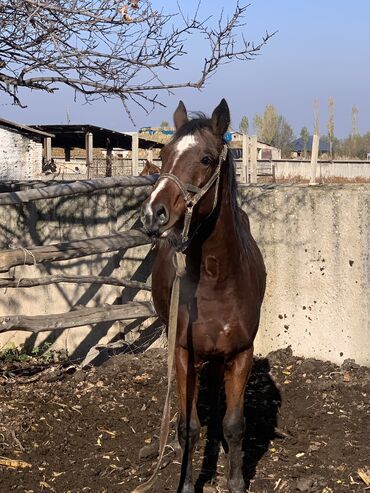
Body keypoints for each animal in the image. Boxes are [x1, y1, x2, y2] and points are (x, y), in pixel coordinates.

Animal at [139, 100, 266, 492]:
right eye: (163, 154)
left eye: (207, 159)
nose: (153, 214)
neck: (216, 279)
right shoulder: (183, 354)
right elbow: (188, 428)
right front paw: (184, 483)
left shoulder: (241, 354)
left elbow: (235, 425)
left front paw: (236, 481)